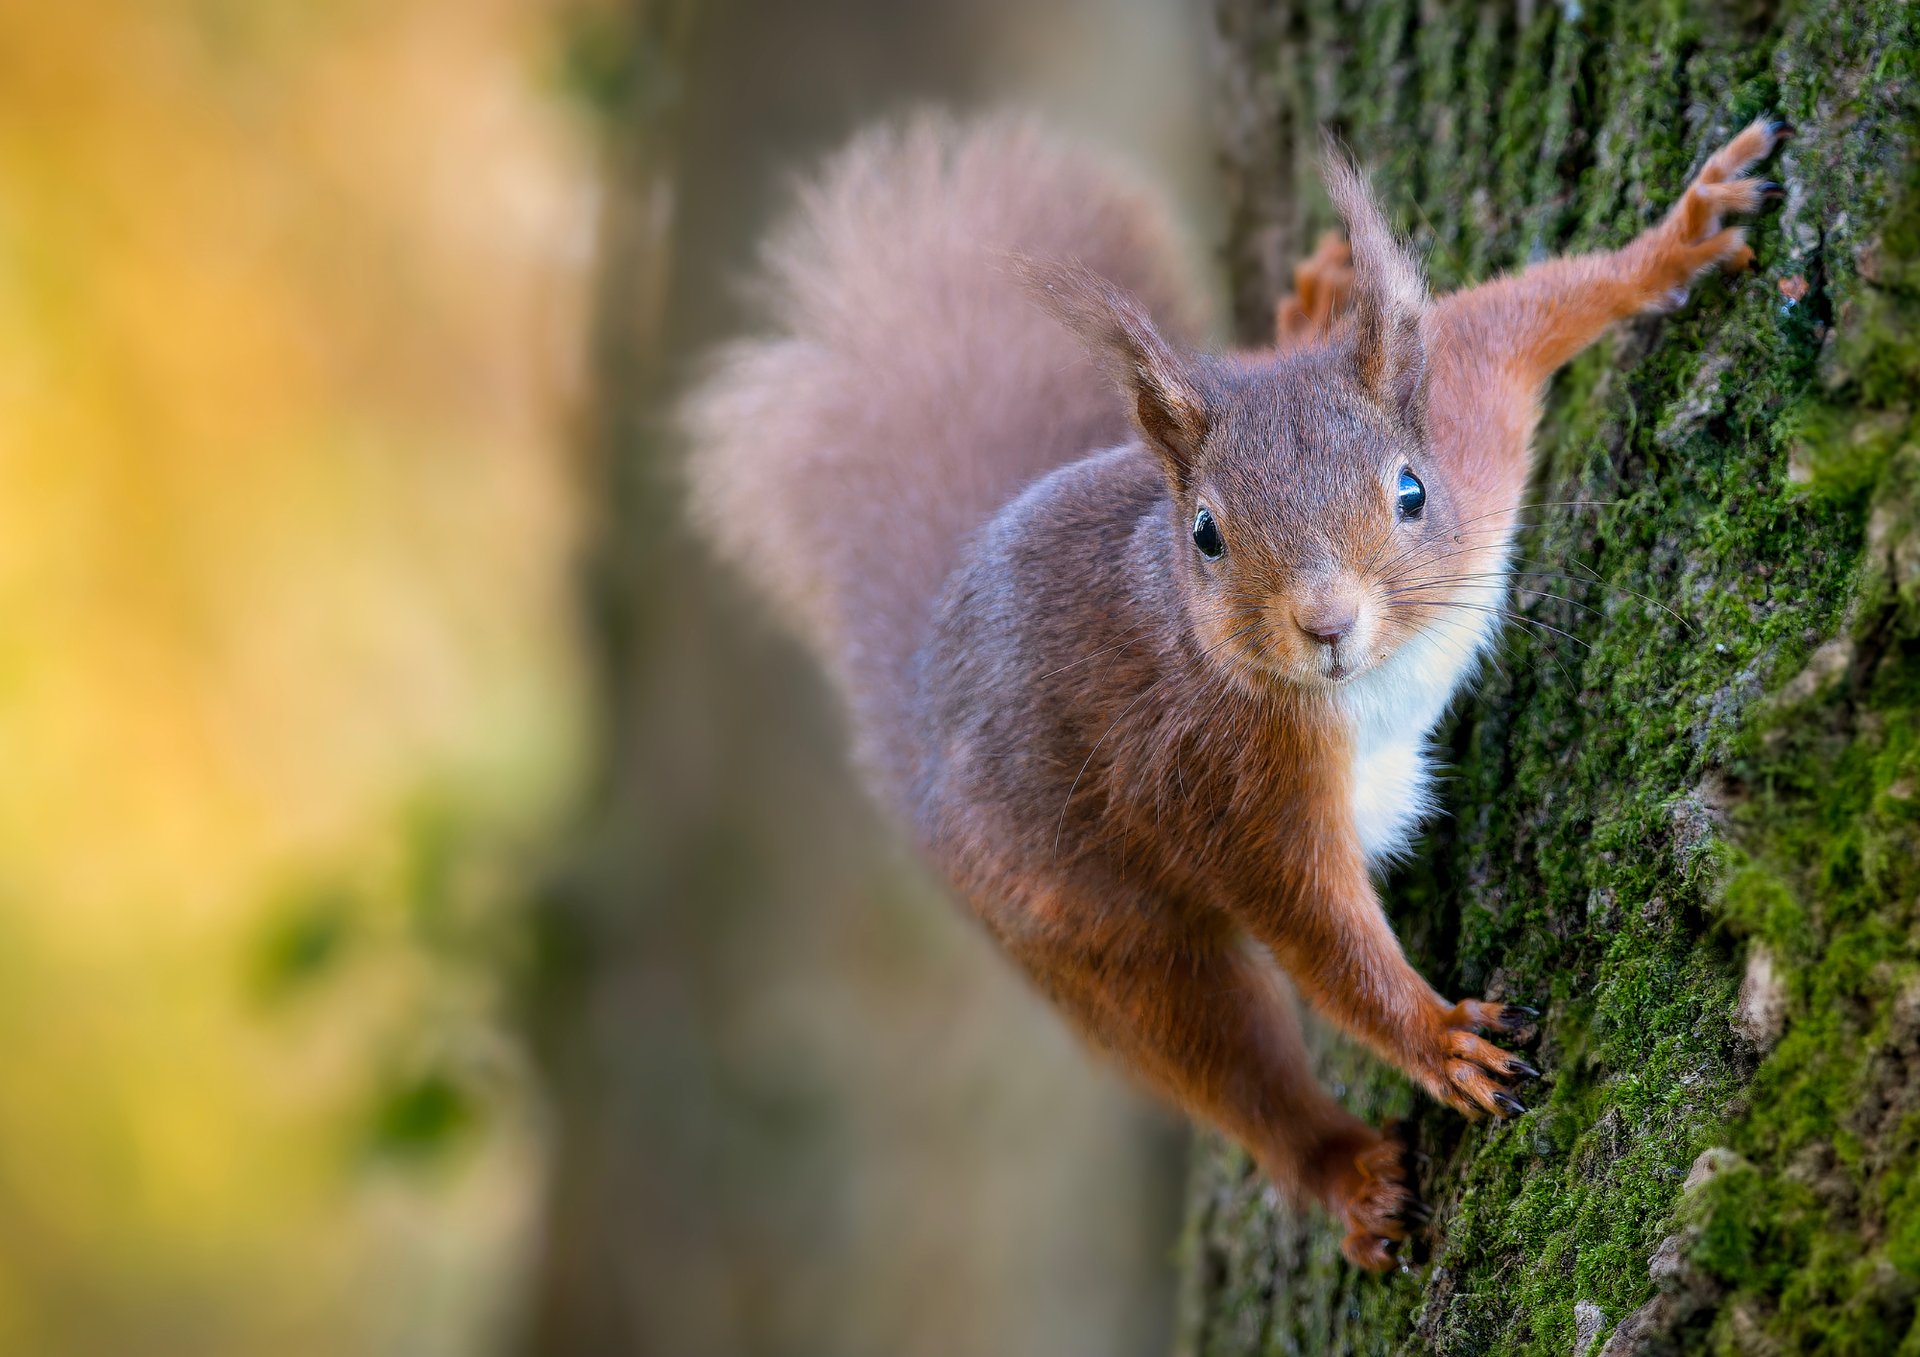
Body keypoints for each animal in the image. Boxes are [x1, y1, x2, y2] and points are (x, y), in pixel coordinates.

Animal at [686, 113, 1789, 1269]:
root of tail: (919, 722)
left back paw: (1301, 313)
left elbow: (1525, 306)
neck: (1380, 674)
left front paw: (1681, 236)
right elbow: (1321, 935)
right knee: (1226, 1063)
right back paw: (1346, 1175)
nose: (1327, 623)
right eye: (1207, 535)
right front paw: (1439, 1040)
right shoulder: (1222, 784)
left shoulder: (1470, 411)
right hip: (1091, 934)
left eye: (1412, 490)